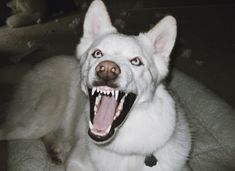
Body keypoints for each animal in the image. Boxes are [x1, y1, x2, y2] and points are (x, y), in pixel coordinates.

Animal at [0, 0, 191, 170]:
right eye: (97, 53)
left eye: (136, 61)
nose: (106, 69)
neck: (126, 146)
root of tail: (31, 67)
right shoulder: (75, 162)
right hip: (35, 122)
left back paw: (54, 149)